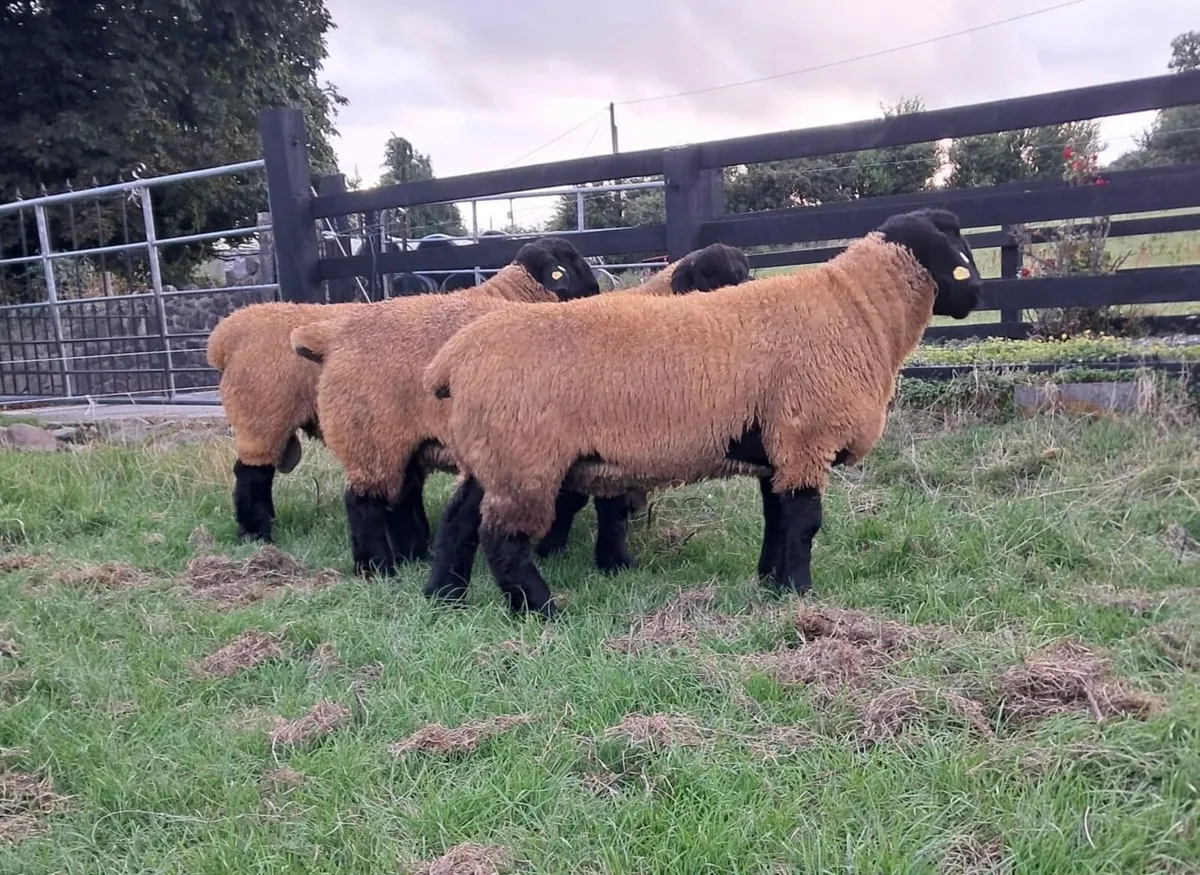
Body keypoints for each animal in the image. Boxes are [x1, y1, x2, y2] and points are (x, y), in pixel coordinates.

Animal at [204, 235, 597, 544]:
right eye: (573, 265)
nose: (597, 292)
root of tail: (225, 334)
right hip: (268, 416)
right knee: (252, 475)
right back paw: (257, 534)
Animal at [291, 241, 750, 579]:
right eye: (724, 281)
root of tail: (331, 336)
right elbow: (601, 506)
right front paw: (606, 561)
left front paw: (564, 550)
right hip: (370, 436)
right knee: (362, 502)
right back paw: (377, 568)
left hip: (400, 444)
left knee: (400, 496)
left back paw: (413, 554)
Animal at [420, 208, 983, 619]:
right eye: (958, 253)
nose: (976, 295)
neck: (862, 312)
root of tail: (451, 360)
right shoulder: (804, 438)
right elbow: (804, 523)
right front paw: (800, 593)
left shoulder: (777, 446)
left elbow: (777, 519)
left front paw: (771, 583)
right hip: (525, 458)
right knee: (503, 540)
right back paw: (541, 611)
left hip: (495, 454)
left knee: (459, 520)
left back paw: (444, 595)